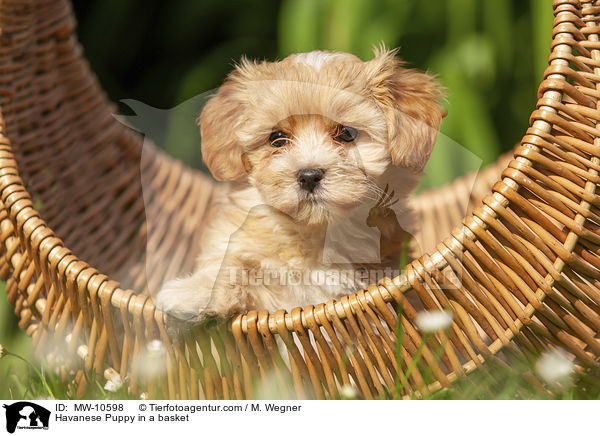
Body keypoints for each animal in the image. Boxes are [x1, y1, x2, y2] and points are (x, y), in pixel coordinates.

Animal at [155, 45, 446, 330]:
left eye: (347, 134)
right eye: (277, 138)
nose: (308, 175)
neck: (314, 234)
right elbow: (234, 265)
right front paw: (193, 292)